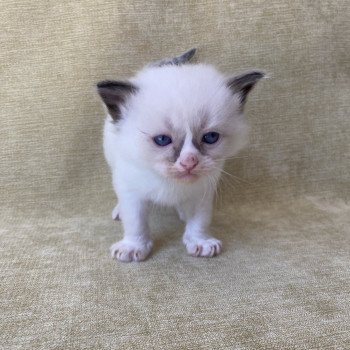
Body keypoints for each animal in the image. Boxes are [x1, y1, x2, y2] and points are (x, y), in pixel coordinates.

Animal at [97, 50, 264, 262]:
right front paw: (133, 246)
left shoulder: (203, 190)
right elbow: (136, 222)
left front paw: (200, 242)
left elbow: (200, 220)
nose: (189, 162)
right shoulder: (131, 189)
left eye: (210, 137)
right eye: (162, 140)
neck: (170, 183)